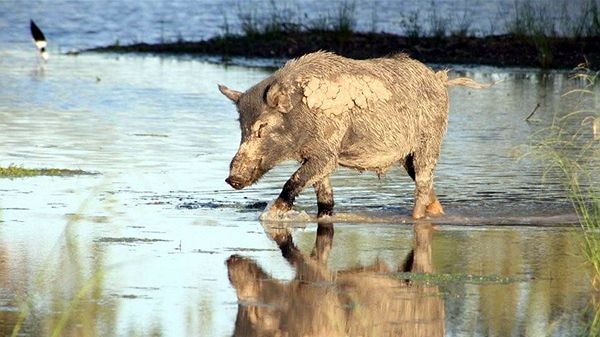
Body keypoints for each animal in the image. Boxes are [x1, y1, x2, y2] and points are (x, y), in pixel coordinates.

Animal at [220, 50, 488, 218]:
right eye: (241, 126)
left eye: (262, 127)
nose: (232, 179)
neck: (301, 116)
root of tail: (439, 80)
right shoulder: (316, 157)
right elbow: (325, 197)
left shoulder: (327, 153)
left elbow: (293, 181)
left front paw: (268, 216)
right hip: (408, 157)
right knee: (430, 188)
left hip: (429, 143)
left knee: (422, 185)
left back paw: (416, 218)